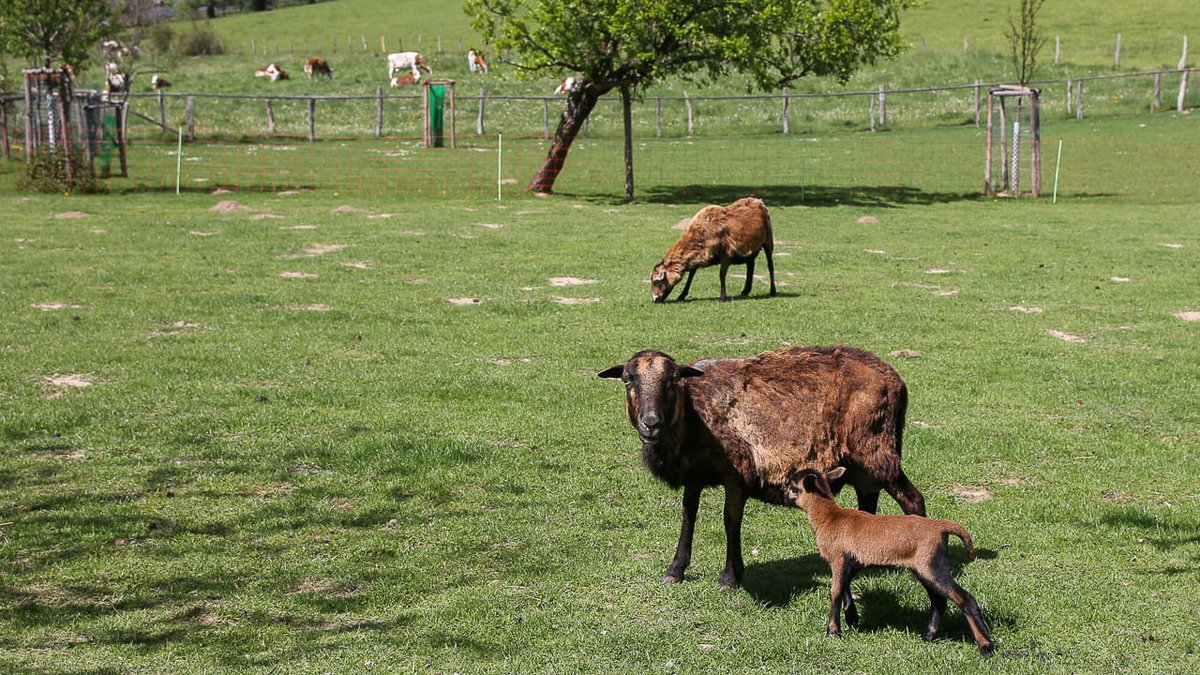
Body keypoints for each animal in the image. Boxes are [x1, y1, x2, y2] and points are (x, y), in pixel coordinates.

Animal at [598, 345, 925, 589]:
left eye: (672, 380)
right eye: (627, 380)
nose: (650, 423)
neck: (691, 413)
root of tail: (895, 378)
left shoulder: (736, 474)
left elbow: (730, 521)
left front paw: (730, 577)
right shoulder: (694, 473)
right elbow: (688, 516)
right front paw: (675, 570)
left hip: (876, 449)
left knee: (913, 500)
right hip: (859, 460)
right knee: (867, 501)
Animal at [786, 467, 994, 656]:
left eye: (792, 486)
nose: (783, 495)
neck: (830, 517)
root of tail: (941, 527)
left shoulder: (838, 559)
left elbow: (835, 592)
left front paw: (833, 631)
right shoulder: (849, 563)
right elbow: (844, 587)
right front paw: (851, 618)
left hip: (932, 565)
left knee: (965, 599)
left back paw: (986, 647)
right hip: (924, 567)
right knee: (939, 600)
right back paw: (929, 636)